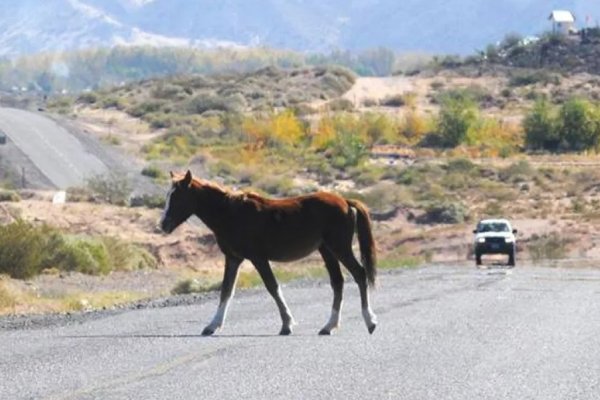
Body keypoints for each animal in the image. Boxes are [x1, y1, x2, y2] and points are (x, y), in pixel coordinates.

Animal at [159, 170, 376, 334]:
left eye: (177, 197)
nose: (163, 225)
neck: (230, 214)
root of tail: (346, 202)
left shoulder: (258, 258)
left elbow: (273, 287)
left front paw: (287, 324)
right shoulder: (233, 258)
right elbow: (226, 290)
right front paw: (212, 326)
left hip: (340, 248)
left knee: (359, 274)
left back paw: (370, 321)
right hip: (327, 250)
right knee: (338, 282)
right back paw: (329, 326)